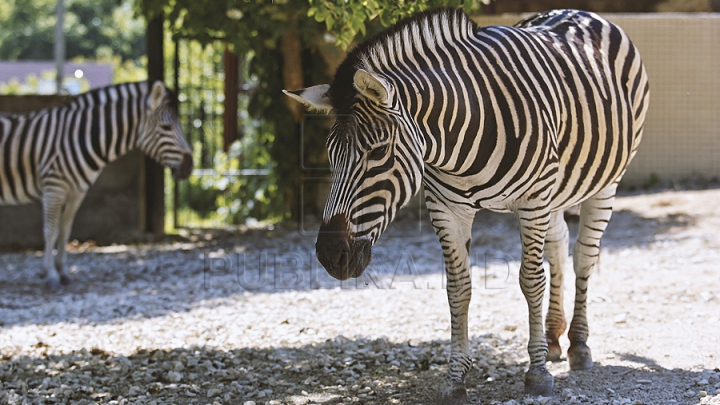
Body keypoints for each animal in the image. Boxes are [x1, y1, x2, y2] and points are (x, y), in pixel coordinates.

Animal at [0, 81, 193, 290]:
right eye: (166, 127)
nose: (189, 166)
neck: (80, 137)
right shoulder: (54, 187)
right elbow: (51, 231)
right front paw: (51, 274)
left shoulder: (77, 191)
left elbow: (65, 231)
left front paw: (63, 272)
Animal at [286, 7, 652, 402]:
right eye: (331, 154)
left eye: (379, 152)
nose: (329, 254)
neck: (458, 135)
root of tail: (581, 12)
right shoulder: (446, 208)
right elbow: (458, 289)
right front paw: (456, 379)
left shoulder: (532, 200)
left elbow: (530, 280)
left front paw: (536, 374)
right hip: (557, 189)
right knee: (559, 245)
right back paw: (554, 336)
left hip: (604, 182)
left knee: (584, 254)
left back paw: (579, 345)